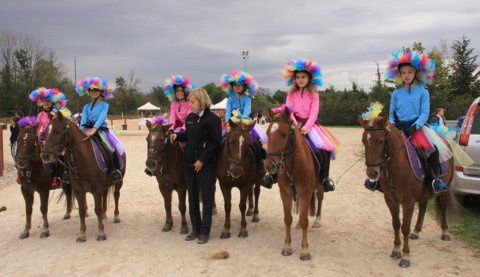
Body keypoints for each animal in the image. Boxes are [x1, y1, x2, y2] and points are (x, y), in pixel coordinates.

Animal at [40, 112, 125, 242]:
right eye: (45, 132)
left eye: (56, 131)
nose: (45, 155)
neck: (82, 159)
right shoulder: (79, 190)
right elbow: (81, 211)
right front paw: (82, 234)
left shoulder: (96, 189)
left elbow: (97, 209)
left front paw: (101, 232)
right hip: (105, 185)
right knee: (105, 196)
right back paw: (104, 215)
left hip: (118, 182)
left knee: (116, 196)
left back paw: (116, 216)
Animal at [264, 107, 324, 258]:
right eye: (267, 133)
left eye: (284, 134)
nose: (269, 166)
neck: (294, 165)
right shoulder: (285, 193)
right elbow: (288, 218)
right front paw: (287, 246)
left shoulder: (305, 192)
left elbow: (304, 220)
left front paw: (305, 250)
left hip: (320, 185)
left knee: (320, 198)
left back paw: (317, 221)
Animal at [360, 115, 458, 266]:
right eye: (364, 141)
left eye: (381, 141)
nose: (372, 173)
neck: (395, 168)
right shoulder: (390, 199)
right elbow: (396, 224)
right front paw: (396, 250)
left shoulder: (408, 202)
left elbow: (405, 227)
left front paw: (405, 256)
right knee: (423, 206)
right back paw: (416, 231)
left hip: (444, 189)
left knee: (442, 207)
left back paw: (445, 232)